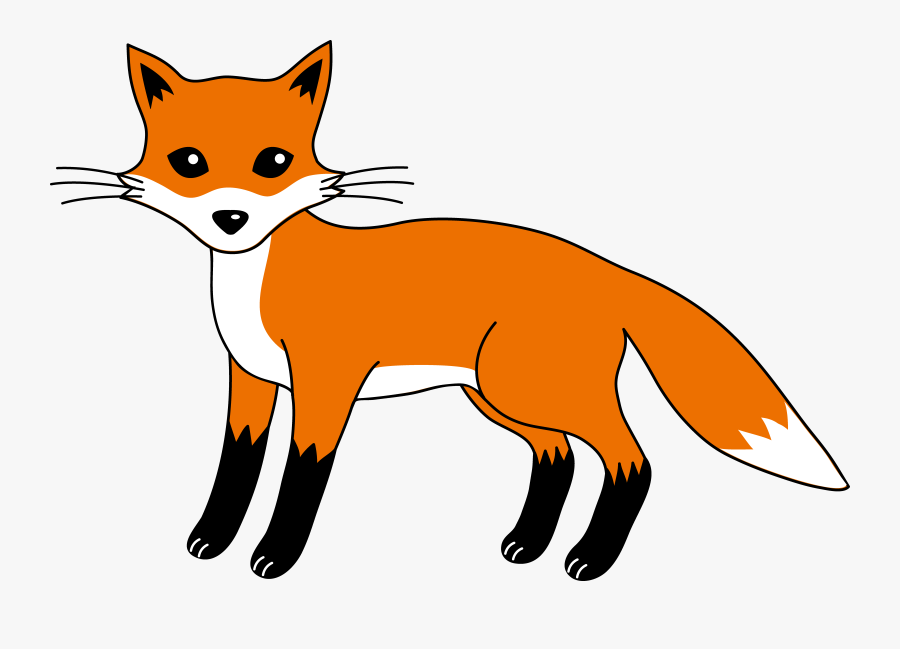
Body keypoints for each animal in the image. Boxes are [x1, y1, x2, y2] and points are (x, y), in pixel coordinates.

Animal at [53, 42, 848, 581]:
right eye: (188, 162)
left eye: (273, 162)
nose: (230, 218)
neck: (259, 278)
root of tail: (607, 267)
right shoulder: (249, 379)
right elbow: (236, 463)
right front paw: (212, 539)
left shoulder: (326, 382)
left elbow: (301, 475)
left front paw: (276, 554)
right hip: (497, 396)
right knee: (557, 457)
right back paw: (527, 544)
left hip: (536, 389)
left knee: (632, 462)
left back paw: (590, 557)